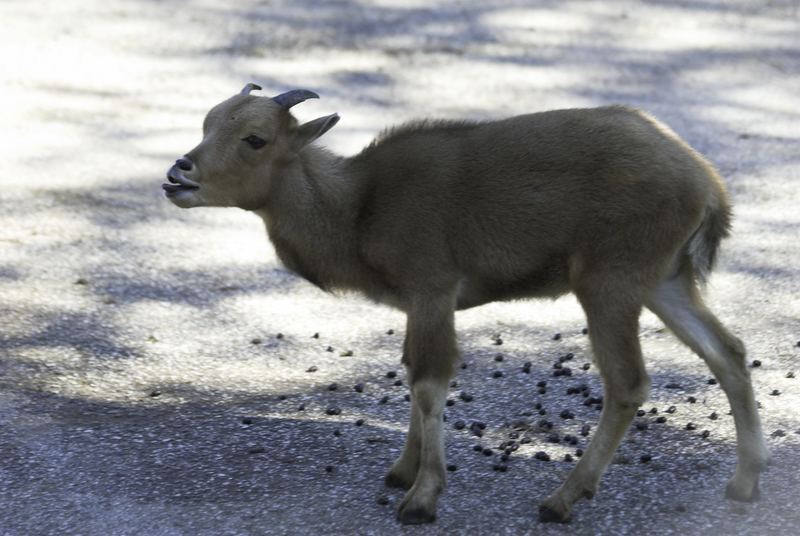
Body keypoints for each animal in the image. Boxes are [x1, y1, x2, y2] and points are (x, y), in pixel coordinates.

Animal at [162, 84, 768, 524]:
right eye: (208, 122)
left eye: (255, 138)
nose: (178, 173)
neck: (359, 209)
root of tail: (707, 185)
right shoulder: (419, 302)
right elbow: (412, 375)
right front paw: (401, 470)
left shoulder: (434, 287)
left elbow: (431, 382)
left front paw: (422, 498)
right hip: (664, 281)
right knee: (728, 351)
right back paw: (744, 481)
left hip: (609, 283)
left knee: (628, 384)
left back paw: (562, 499)